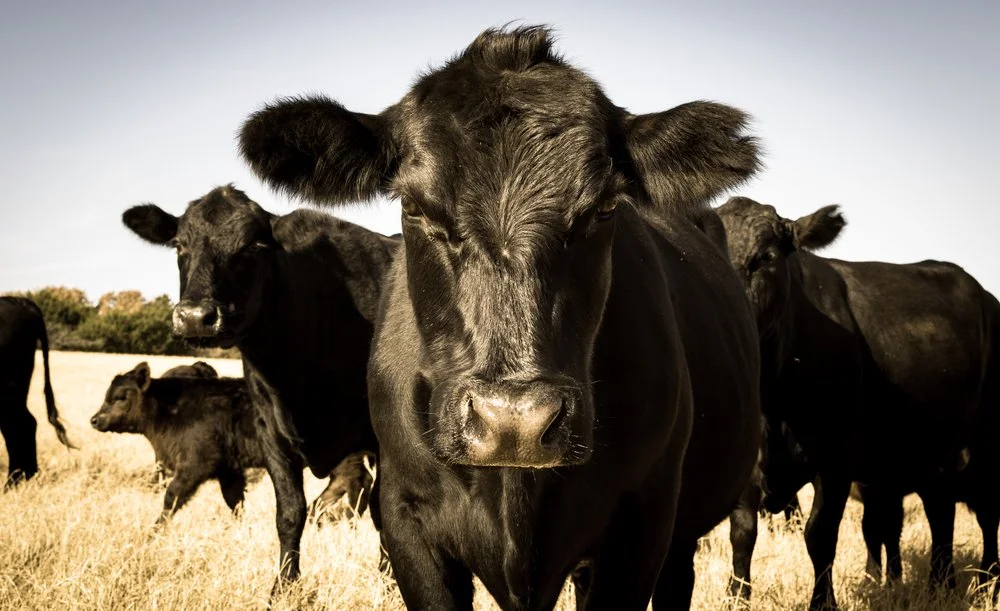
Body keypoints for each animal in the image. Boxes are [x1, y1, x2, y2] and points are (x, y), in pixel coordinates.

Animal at [121, 185, 398, 595]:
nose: (195, 317)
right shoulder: (271, 432)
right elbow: (290, 512)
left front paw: (391, 580)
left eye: (252, 246)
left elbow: (384, 511)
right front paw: (283, 586)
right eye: (179, 245)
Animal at [717, 196, 1000, 610]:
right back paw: (941, 585)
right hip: (933, 455)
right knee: (940, 511)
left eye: (766, 257)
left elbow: (820, 535)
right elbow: (743, 533)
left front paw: (824, 602)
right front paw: (736, 596)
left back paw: (986, 583)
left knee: (986, 516)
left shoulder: (836, 460)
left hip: (984, 450)